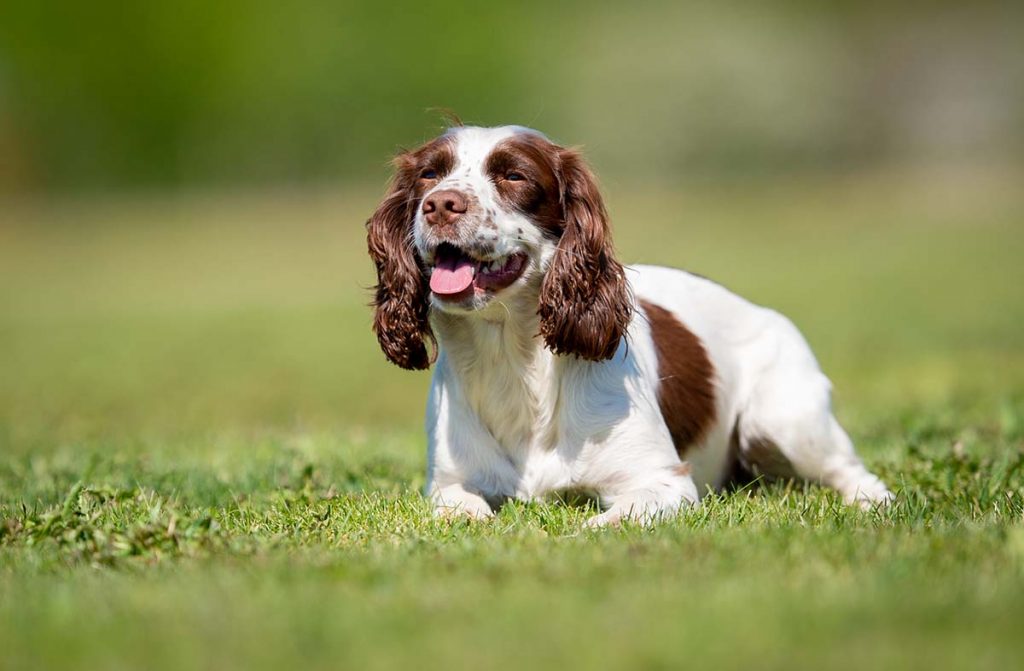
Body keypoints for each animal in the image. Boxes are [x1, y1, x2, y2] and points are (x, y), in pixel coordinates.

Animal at [366, 124, 888, 524]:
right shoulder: (450, 483)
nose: (440, 204)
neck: (514, 361)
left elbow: (607, 521)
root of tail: (765, 311)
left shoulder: (663, 481)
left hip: (783, 418)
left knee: (854, 472)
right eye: (430, 173)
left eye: (514, 175)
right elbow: (463, 510)